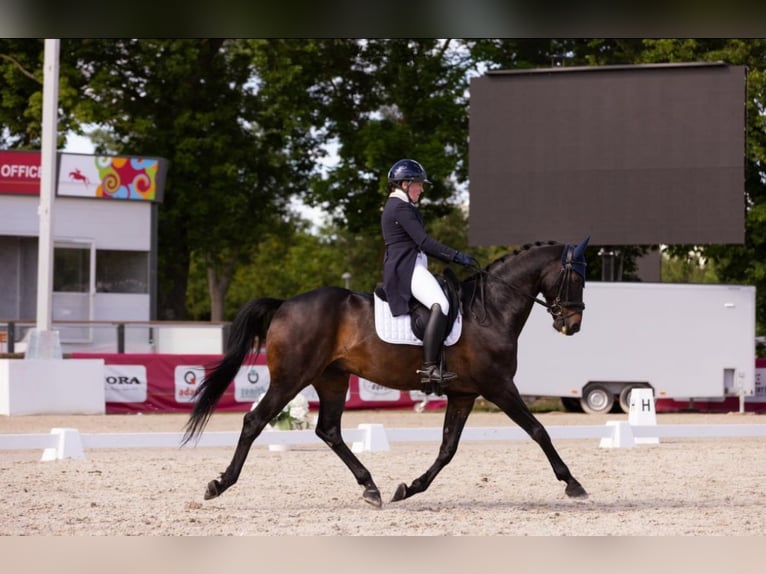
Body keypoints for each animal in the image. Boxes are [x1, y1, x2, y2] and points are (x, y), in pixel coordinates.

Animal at [183, 238, 592, 508]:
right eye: (576, 278)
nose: (572, 325)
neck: (490, 310)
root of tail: (285, 305)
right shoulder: (499, 387)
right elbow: (539, 431)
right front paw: (573, 483)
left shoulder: (464, 394)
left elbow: (447, 448)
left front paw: (409, 488)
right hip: (291, 379)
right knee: (255, 421)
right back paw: (219, 484)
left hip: (332, 378)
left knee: (328, 430)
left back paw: (371, 488)